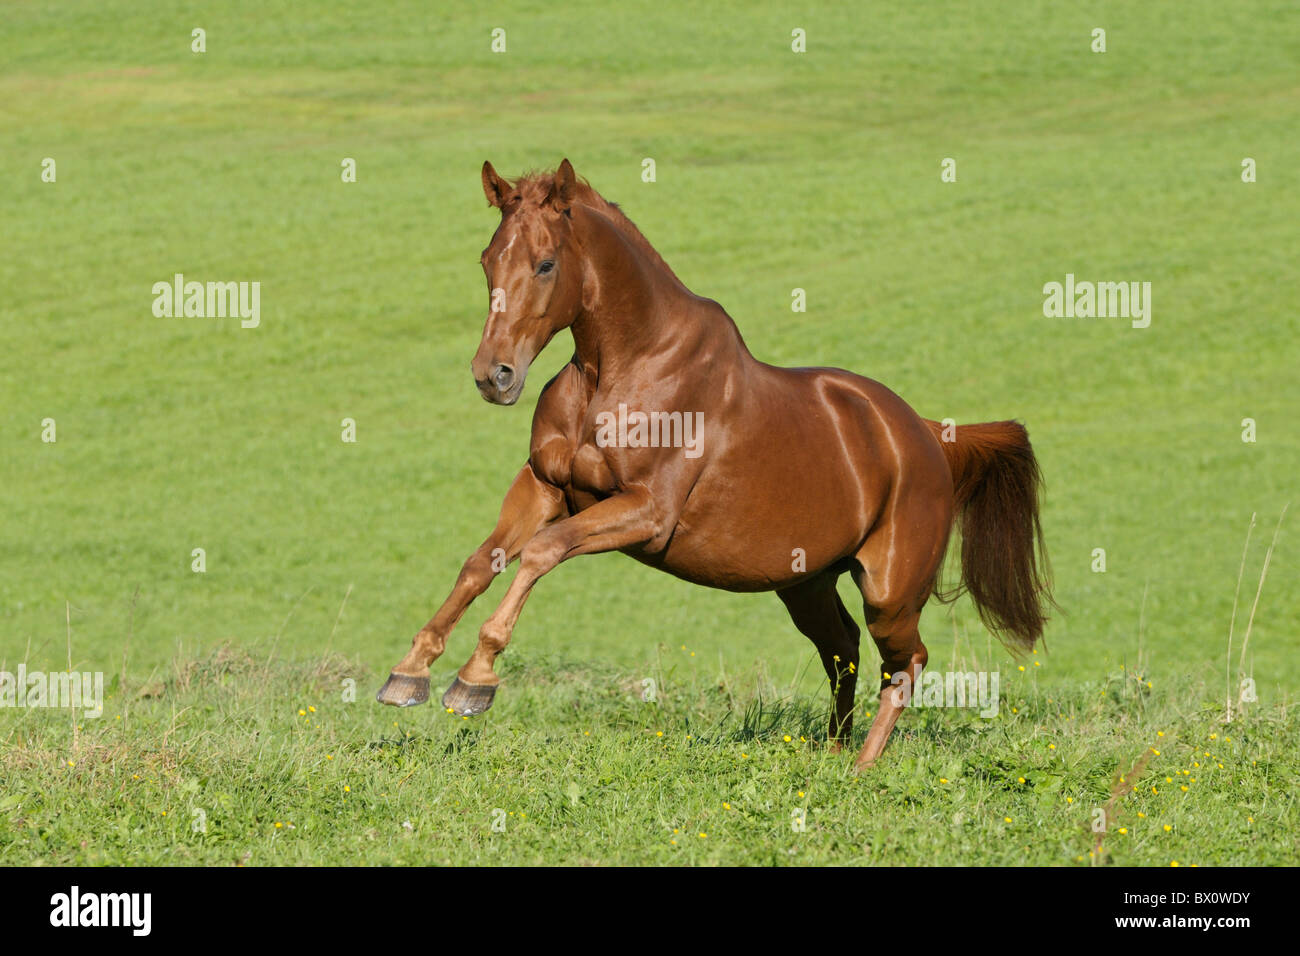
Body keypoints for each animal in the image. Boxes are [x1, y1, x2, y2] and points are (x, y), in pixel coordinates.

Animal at [379, 158, 1055, 770]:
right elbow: (481, 562)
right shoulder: (546, 486)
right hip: (807, 583)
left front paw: (475, 679)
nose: (493, 376)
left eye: (545, 264)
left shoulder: (644, 513)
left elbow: (541, 552)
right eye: (487, 260)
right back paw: (832, 756)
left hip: (890, 592)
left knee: (905, 663)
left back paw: (863, 768)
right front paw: (409, 673)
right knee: (843, 649)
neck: (621, 368)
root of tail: (928, 437)